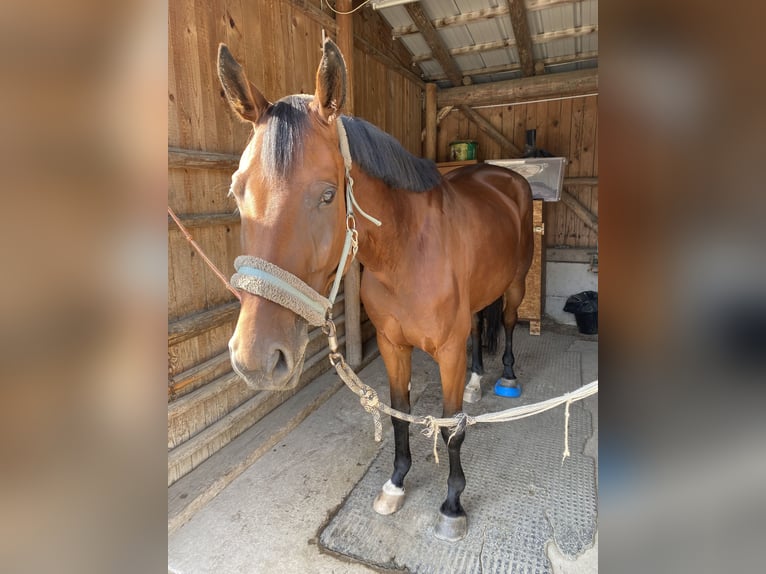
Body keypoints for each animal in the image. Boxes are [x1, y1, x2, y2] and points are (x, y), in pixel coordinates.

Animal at [222, 38, 536, 544]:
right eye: (237, 190)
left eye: (328, 195)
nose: (255, 359)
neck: (407, 252)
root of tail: (504, 176)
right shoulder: (392, 344)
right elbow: (398, 412)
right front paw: (395, 483)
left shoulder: (446, 350)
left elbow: (450, 429)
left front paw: (452, 505)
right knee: (477, 329)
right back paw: (475, 381)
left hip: (516, 283)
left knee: (505, 324)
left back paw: (504, 376)